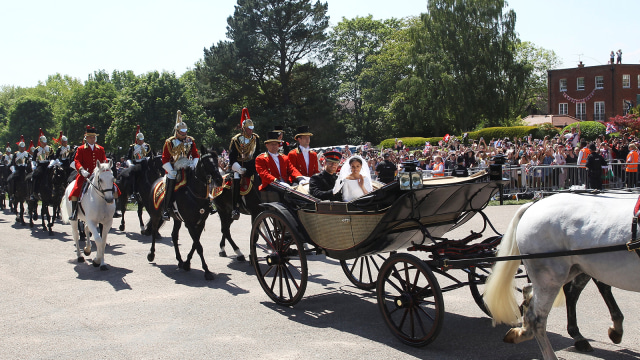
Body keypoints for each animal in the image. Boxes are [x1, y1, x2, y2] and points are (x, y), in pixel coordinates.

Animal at [146, 150, 224, 280]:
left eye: (217, 160)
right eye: (206, 163)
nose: (219, 180)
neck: (195, 194)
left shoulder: (200, 223)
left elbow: (195, 244)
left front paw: (187, 263)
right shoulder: (189, 224)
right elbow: (199, 246)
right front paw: (207, 271)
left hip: (177, 219)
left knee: (174, 236)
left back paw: (180, 260)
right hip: (156, 216)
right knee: (153, 231)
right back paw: (151, 254)